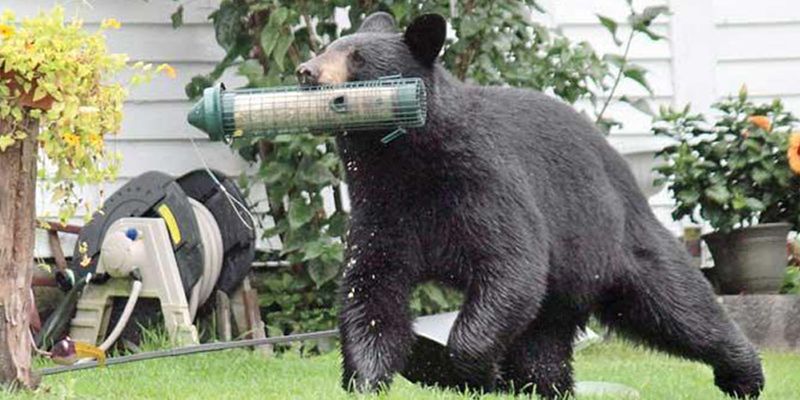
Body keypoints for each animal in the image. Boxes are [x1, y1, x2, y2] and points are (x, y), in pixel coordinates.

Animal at [295, 12, 765, 399]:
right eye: (326, 47)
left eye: (357, 58)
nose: (306, 71)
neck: (406, 161)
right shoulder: (381, 206)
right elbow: (371, 289)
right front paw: (366, 380)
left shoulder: (484, 183)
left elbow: (511, 264)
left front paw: (471, 369)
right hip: (560, 293)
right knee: (543, 345)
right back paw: (546, 387)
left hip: (614, 240)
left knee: (679, 306)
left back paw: (744, 373)